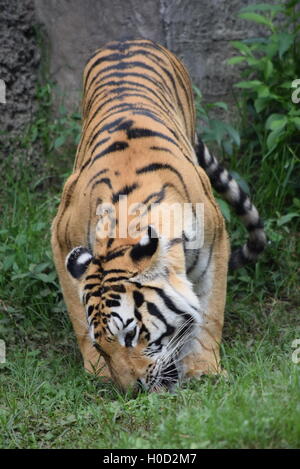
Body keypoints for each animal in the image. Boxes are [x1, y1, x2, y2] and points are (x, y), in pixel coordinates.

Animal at [51, 39, 264, 392]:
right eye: (102, 345)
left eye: (131, 333)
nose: (132, 391)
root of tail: (128, 40)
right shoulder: (62, 235)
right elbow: (77, 315)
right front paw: (97, 372)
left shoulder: (216, 243)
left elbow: (210, 313)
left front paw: (204, 369)